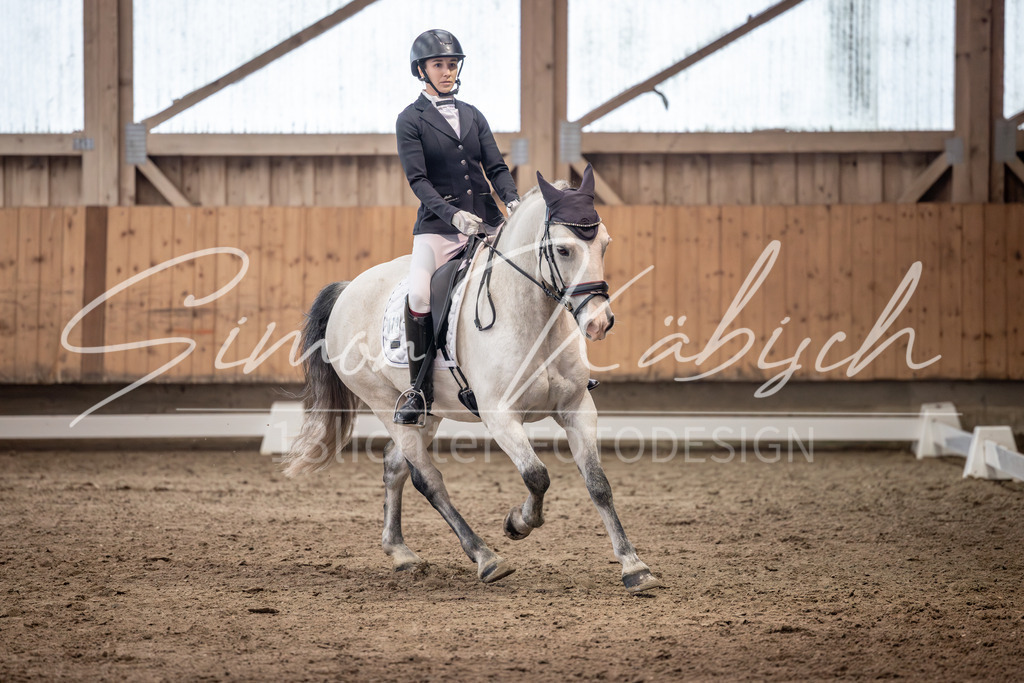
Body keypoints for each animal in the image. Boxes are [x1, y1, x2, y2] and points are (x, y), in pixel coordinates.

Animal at [281, 165, 662, 594]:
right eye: (564, 250)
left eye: (605, 245)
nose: (599, 323)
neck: (531, 317)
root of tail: (348, 289)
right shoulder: (500, 415)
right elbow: (537, 476)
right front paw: (517, 524)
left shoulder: (577, 407)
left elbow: (598, 483)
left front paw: (634, 566)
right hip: (382, 402)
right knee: (427, 478)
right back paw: (486, 557)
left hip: (426, 412)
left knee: (395, 466)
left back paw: (401, 553)